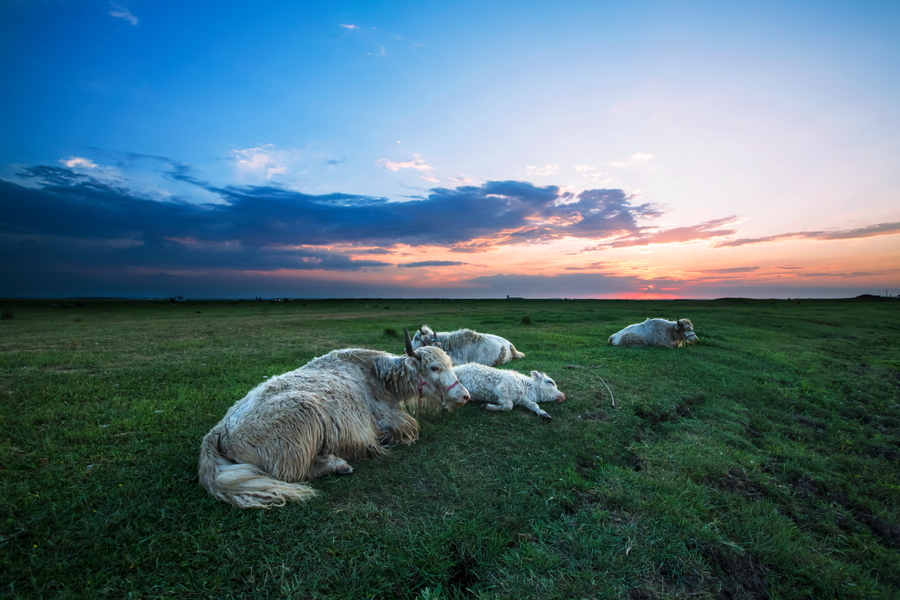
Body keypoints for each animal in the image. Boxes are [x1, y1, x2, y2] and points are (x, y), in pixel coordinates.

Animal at [199, 330, 472, 508]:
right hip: (300, 425)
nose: (465, 396)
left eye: (449, 364)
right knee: (292, 473)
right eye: (435, 368)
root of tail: (219, 431)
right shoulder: (393, 420)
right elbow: (408, 429)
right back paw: (338, 463)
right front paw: (383, 440)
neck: (378, 375)